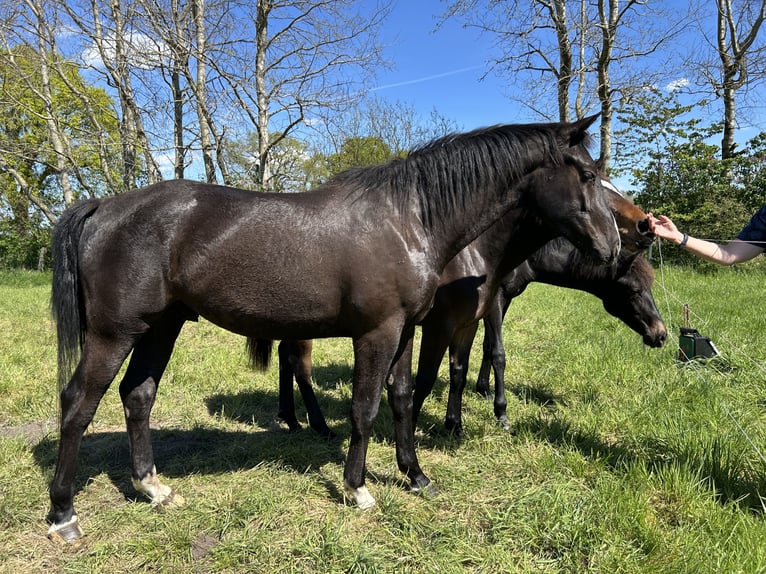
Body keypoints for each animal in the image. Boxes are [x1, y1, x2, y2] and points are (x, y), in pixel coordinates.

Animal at [47, 114, 619, 543]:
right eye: (588, 176)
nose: (613, 247)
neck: (408, 219)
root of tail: (103, 206)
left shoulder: (405, 332)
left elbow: (402, 399)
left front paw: (415, 475)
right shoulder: (377, 333)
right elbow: (364, 409)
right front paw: (357, 488)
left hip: (160, 328)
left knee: (138, 395)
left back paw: (152, 488)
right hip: (115, 334)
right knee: (78, 404)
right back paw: (63, 515)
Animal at [274, 185, 663, 440]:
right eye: (633, 290)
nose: (660, 334)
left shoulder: (481, 311)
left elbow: (465, 364)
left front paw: (462, 412)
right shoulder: (489, 305)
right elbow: (497, 353)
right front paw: (500, 411)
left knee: (284, 354)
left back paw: (290, 418)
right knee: (296, 360)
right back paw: (317, 424)